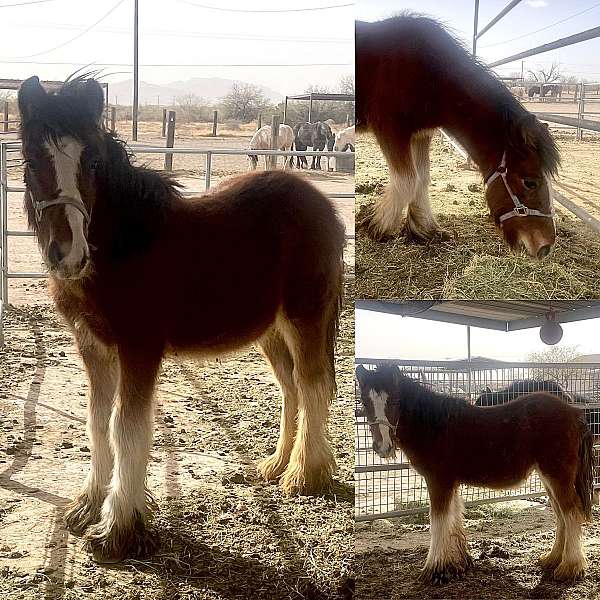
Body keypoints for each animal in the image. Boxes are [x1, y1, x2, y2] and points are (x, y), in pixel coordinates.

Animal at [18, 75, 344, 564]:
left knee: (312, 385)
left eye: (92, 161)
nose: (67, 254)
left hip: (305, 315)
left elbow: (126, 428)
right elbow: (97, 422)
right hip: (271, 329)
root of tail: (323, 205)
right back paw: (276, 464)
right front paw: (88, 506)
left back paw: (305, 475)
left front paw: (119, 528)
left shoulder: (139, 347)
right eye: (32, 158)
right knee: (290, 387)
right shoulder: (92, 347)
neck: (124, 246)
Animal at [354, 14, 560, 256]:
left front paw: (423, 229)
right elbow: (407, 180)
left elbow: (422, 178)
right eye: (530, 182)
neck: (429, 73)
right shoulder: (391, 130)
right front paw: (376, 225)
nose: (545, 246)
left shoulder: (420, 134)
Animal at [354, 364, 592, 584]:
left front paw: (434, 570)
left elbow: (438, 522)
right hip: (548, 477)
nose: (383, 447)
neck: (435, 427)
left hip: (557, 474)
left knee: (571, 512)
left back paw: (570, 567)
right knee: (561, 514)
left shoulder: (438, 480)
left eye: (394, 401)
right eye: (364, 403)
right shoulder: (450, 483)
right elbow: (453, 518)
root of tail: (574, 413)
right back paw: (552, 559)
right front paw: (457, 564)